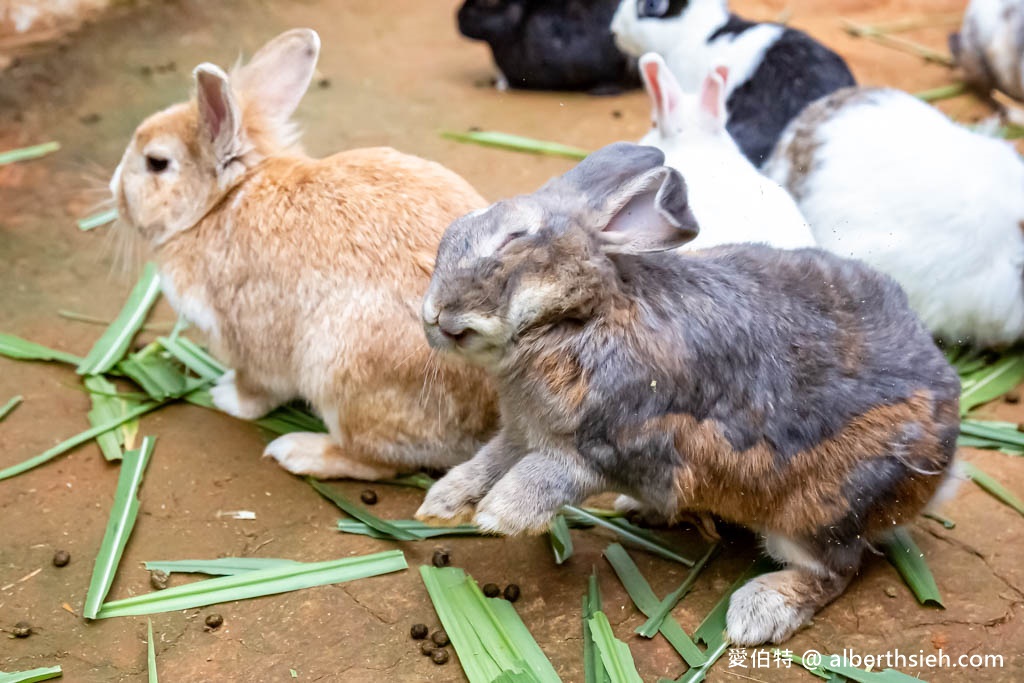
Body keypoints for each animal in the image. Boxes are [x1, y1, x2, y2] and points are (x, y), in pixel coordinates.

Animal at [108, 30, 495, 481]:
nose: (115, 190)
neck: (218, 204)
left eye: (156, 163)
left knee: (377, 461)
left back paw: (297, 451)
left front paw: (225, 397)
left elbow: (254, 390)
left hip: (341, 373)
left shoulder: (247, 338)